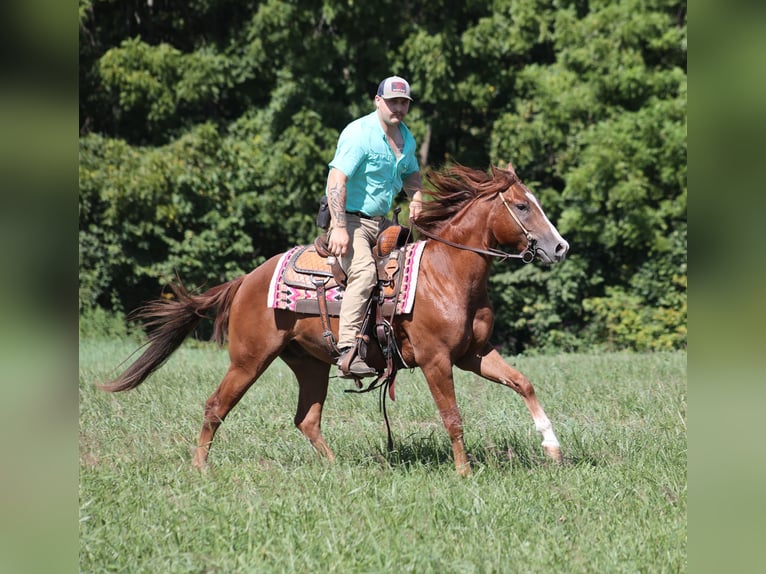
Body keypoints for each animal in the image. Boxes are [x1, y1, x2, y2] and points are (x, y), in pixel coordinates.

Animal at [100, 163, 569, 476]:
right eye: (522, 206)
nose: (560, 247)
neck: (448, 273)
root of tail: (247, 279)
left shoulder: (475, 354)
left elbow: (523, 383)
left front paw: (552, 446)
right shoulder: (437, 360)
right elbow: (452, 416)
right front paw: (464, 472)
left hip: (309, 364)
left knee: (306, 418)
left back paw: (336, 468)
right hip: (248, 359)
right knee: (216, 406)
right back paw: (200, 467)